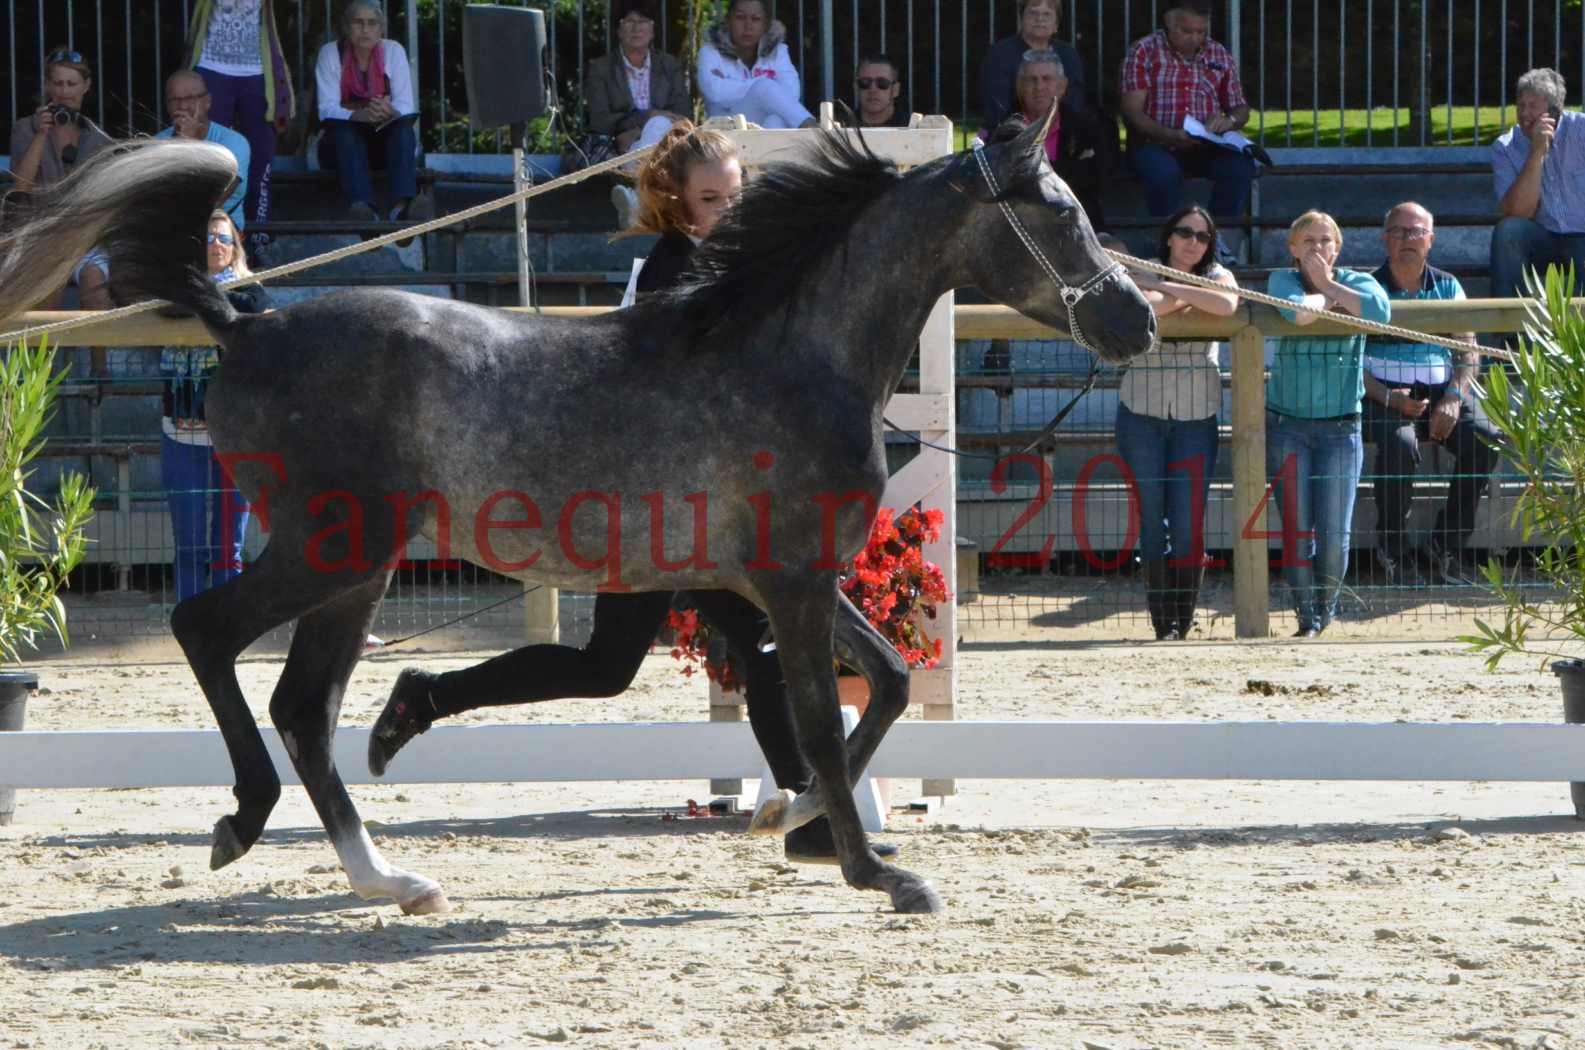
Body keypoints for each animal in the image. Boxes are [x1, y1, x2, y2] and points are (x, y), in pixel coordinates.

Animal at [0, 114, 1153, 919]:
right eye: (1059, 211)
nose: (1132, 318)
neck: (791, 351)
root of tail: (245, 324)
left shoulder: (786, 577)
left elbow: (892, 685)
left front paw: (797, 826)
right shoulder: (790, 581)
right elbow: (827, 720)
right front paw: (877, 873)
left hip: (356, 571)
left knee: (305, 709)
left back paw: (389, 877)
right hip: (333, 548)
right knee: (208, 634)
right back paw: (244, 822)